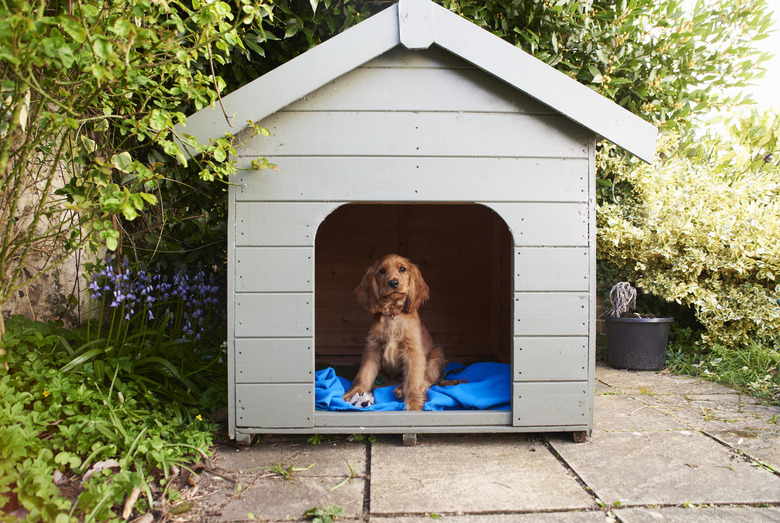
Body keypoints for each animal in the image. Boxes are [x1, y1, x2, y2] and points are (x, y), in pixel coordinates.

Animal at [342, 255, 448, 414]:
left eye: (402, 268)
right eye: (382, 271)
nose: (393, 283)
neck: (393, 315)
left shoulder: (414, 352)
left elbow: (413, 380)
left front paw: (413, 405)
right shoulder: (372, 349)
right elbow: (363, 375)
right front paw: (351, 394)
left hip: (437, 353)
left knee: (429, 377)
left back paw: (400, 389)